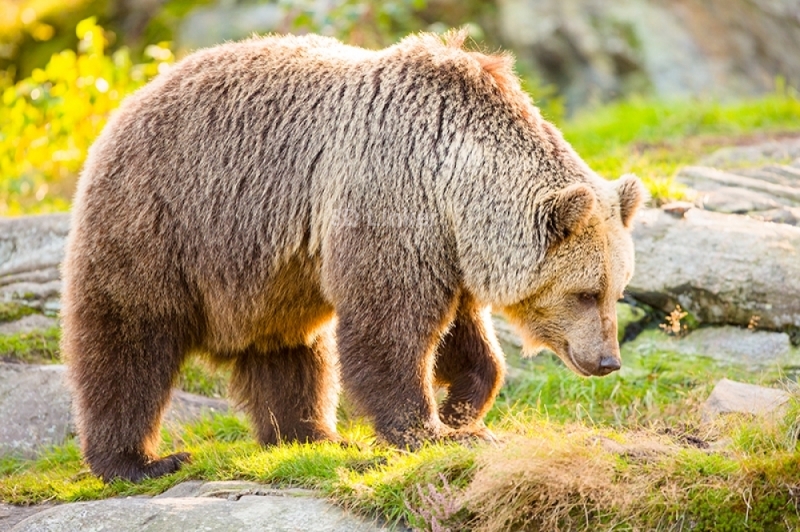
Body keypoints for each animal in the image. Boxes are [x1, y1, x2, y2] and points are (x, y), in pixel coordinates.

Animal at [60, 30, 645, 482]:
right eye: (585, 292)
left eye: (617, 291)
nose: (608, 361)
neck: (455, 180)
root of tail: (130, 99)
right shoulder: (391, 199)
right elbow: (389, 327)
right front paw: (425, 430)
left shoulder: (444, 245)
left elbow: (463, 336)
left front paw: (463, 411)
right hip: (162, 223)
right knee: (128, 341)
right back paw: (137, 461)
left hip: (270, 278)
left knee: (289, 351)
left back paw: (312, 436)